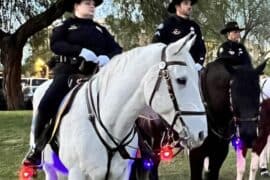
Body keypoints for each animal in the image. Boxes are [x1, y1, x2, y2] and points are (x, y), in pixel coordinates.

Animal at [30, 31, 207, 179]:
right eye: (181, 80)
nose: (201, 134)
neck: (109, 124)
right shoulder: (77, 173)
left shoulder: (122, 173)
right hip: (50, 169)